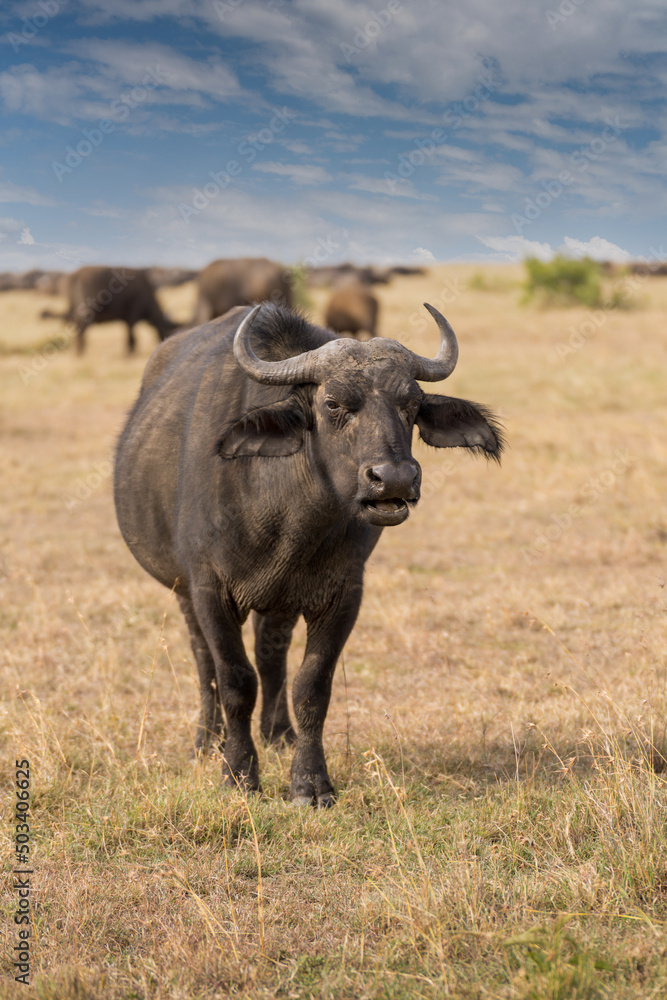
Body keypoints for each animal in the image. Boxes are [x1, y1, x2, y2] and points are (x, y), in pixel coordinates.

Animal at [43, 266, 181, 356]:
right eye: (169, 332)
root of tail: (75, 275)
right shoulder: (133, 315)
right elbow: (131, 335)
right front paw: (130, 353)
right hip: (87, 313)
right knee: (81, 330)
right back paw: (80, 353)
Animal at [113, 302, 500, 804]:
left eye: (412, 404)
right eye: (333, 403)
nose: (394, 479)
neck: (288, 519)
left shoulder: (342, 595)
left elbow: (312, 686)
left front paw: (310, 781)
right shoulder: (208, 589)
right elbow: (235, 679)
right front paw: (238, 772)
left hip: (279, 600)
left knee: (271, 657)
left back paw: (279, 734)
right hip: (182, 590)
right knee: (205, 661)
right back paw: (208, 738)